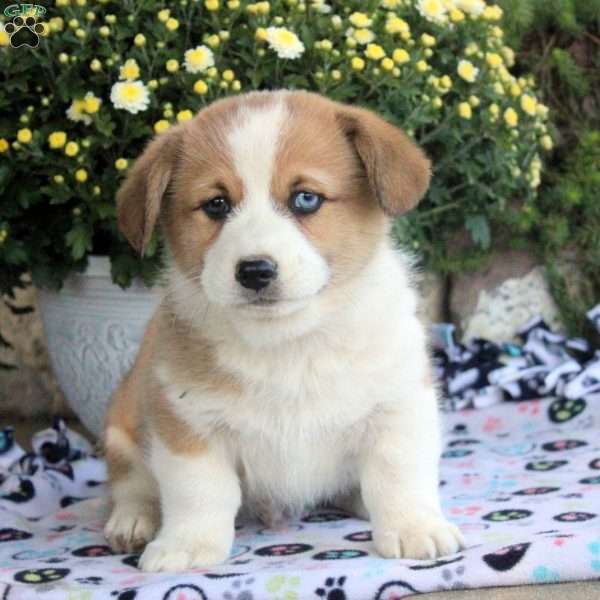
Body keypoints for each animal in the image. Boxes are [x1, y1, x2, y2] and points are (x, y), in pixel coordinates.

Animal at [104, 89, 464, 572]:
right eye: (216, 204)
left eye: (305, 199)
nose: (255, 271)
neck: (288, 343)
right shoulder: (186, 423)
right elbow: (197, 492)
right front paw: (187, 546)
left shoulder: (397, 403)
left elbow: (398, 472)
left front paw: (414, 528)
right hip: (121, 423)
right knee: (131, 484)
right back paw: (133, 521)